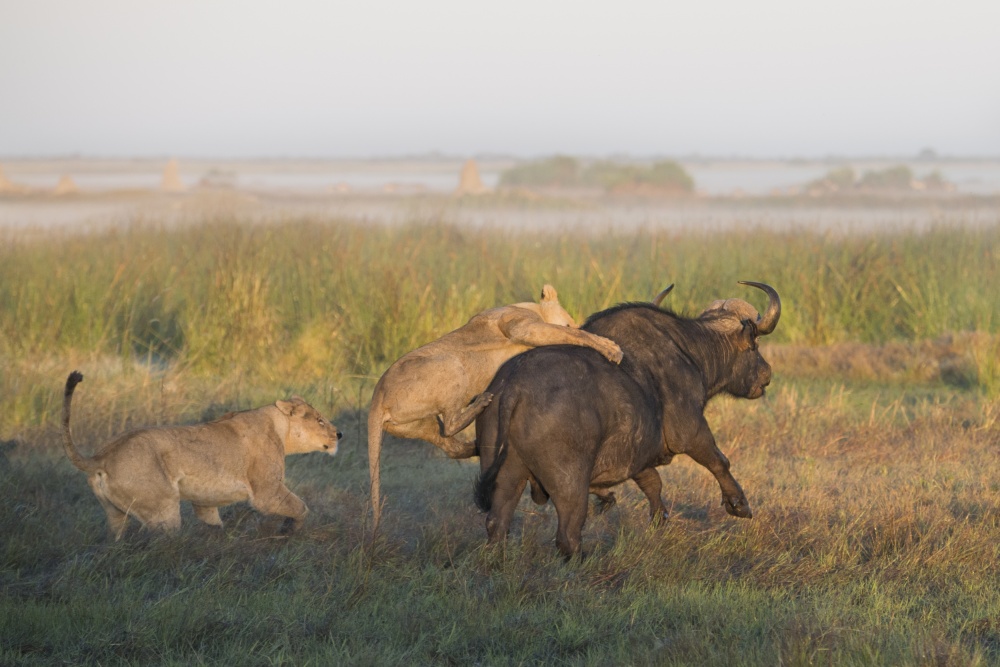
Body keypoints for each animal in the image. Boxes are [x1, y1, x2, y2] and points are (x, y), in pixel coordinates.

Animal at [474, 282, 780, 560]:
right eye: (755, 345)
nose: (767, 374)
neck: (690, 351)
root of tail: (514, 385)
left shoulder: (637, 452)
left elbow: (653, 483)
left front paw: (659, 519)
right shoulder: (690, 431)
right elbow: (718, 461)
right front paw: (739, 505)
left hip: (507, 473)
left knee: (497, 524)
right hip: (570, 484)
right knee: (567, 535)